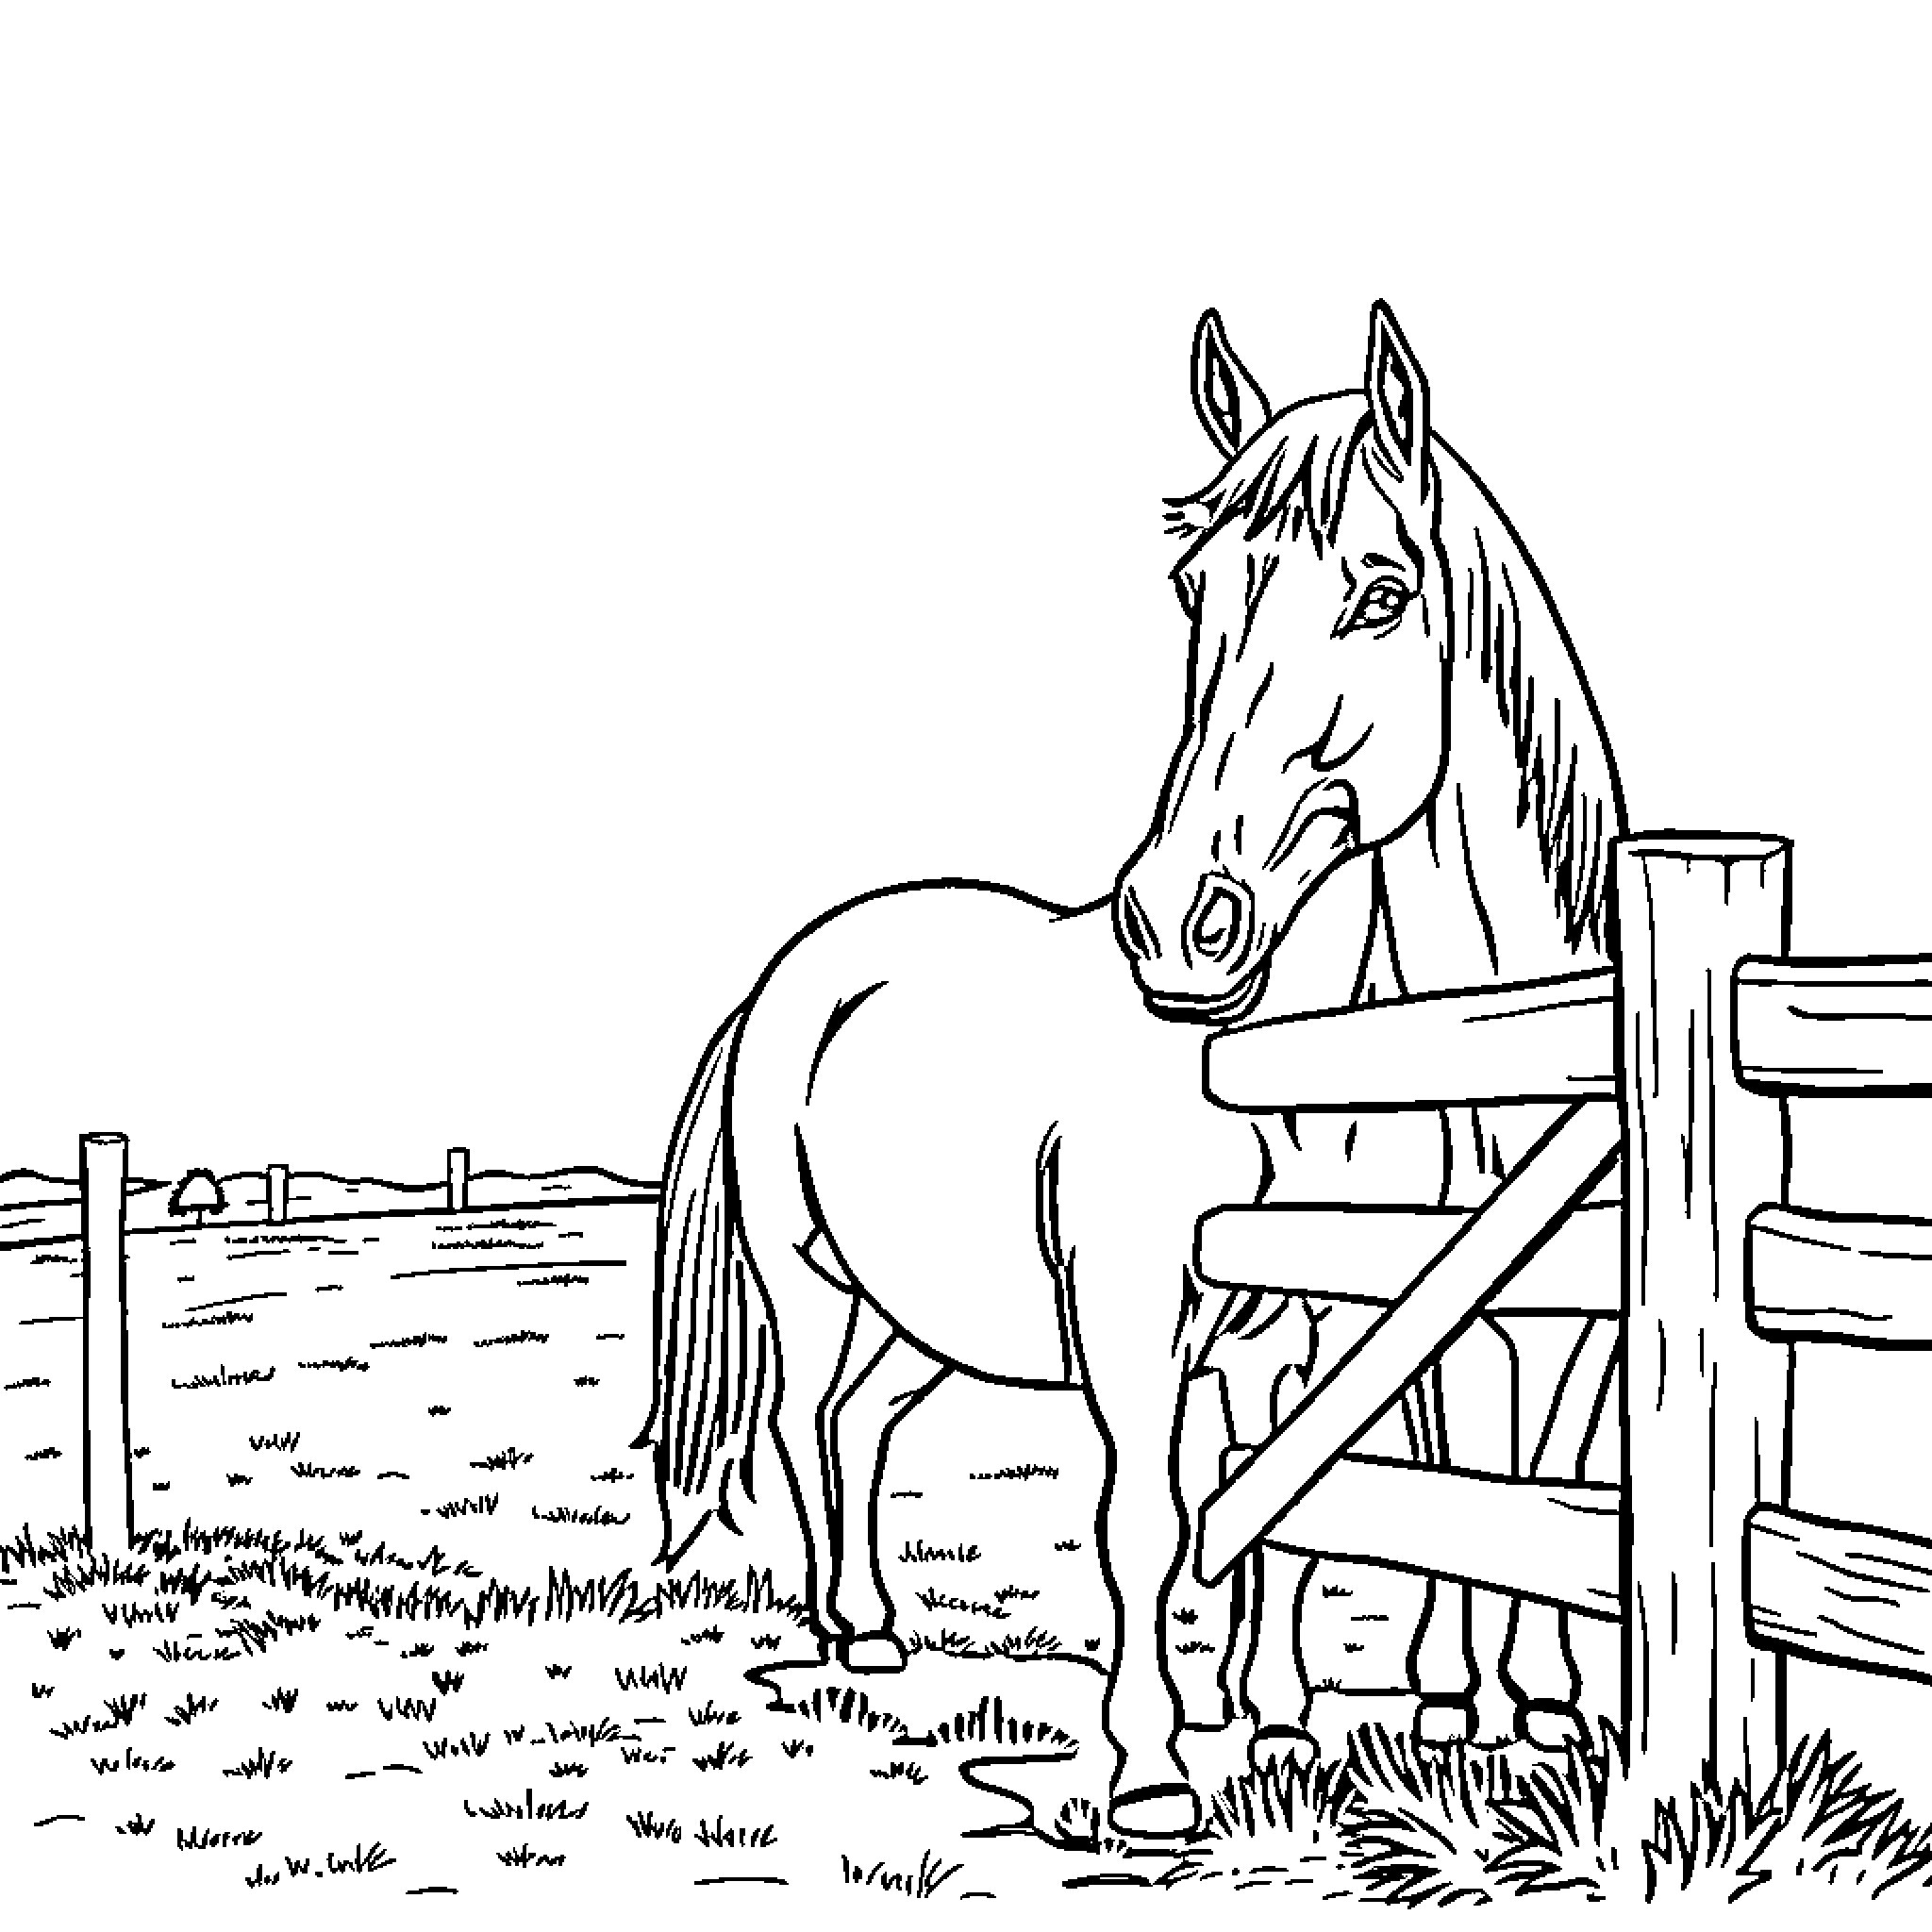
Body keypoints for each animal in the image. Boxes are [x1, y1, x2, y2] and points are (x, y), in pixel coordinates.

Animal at [638, 301, 1626, 1839]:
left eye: (1382, 591)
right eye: (1192, 591)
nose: (1177, 922)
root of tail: (801, 965)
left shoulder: (1358, 1317)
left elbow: (1376, 1500)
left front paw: (1348, 1718)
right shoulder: (1142, 1306)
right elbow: (1153, 1516)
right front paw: (1158, 1769)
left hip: (923, 1311)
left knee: (863, 1421)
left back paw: (883, 1628)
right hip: (810, 1281)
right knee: (803, 1420)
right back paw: (840, 1628)